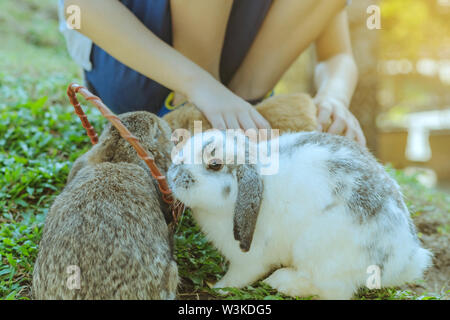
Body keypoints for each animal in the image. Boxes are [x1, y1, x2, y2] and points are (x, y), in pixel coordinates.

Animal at [168, 130, 432, 300]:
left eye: (214, 164)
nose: (173, 174)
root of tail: (405, 258)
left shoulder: (249, 259)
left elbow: (240, 275)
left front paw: (220, 287)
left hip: (319, 252)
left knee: (330, 290)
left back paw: (282, 282)